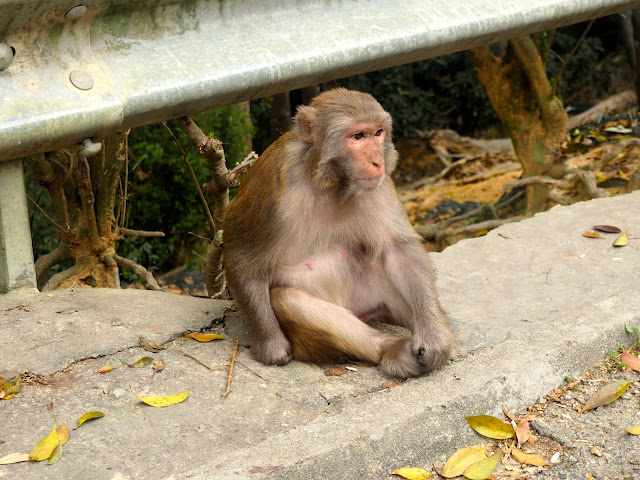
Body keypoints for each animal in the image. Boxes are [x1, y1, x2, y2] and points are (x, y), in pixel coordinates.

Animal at [225, 88, 456, 376]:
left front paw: (435, 336)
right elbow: (241, 256)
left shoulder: (378, 186)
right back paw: (391, 349)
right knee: (286, 298)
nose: (378, 161)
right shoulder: (272, 188)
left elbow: (398, 250)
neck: (330, 182)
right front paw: (271, 346)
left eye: (378, 132)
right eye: (357, 136)